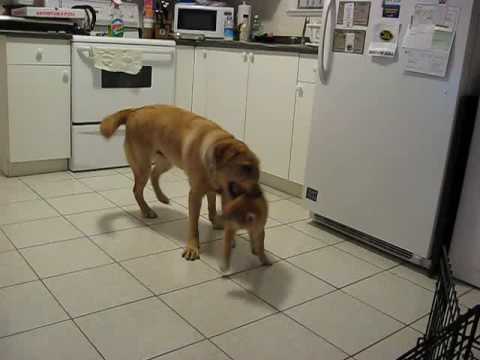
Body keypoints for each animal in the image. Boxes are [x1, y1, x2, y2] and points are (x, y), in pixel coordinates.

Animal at [100, 104, 270, 268]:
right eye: (246, 167)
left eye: (258, 170)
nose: (258, 194)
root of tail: (134, 111)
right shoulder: (195, 195)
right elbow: (193, 226)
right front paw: (193, 247)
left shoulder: (216, 191)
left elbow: (212, 206)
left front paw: (216, 222)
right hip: (143, 167)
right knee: (137, 190)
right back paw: (146, 210)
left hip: (166, 160)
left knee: (154, 175)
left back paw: (161, 197)